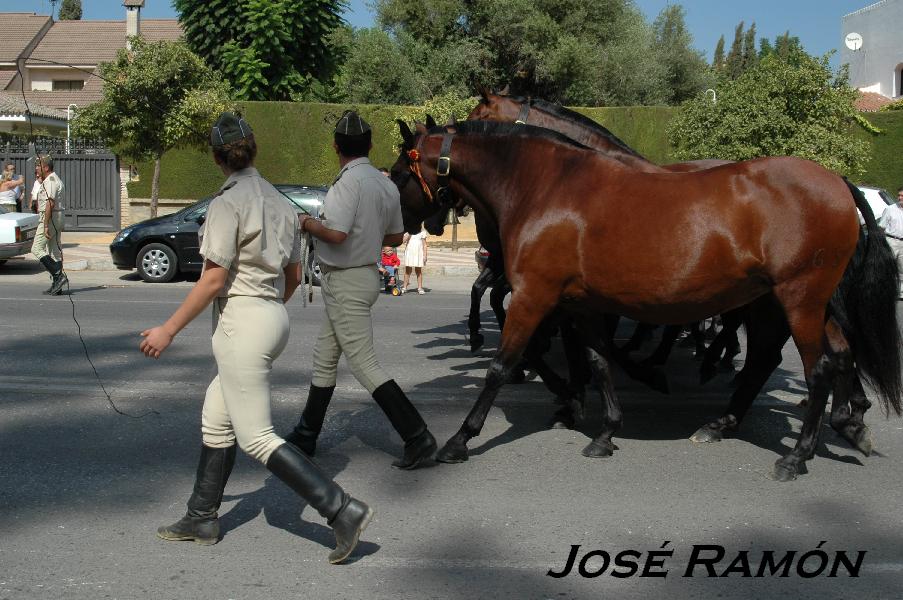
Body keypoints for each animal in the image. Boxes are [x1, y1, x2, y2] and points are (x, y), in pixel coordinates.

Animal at [390, 119, 903, 480]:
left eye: (396, 174)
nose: (400, 228)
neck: (546, 187)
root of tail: (836, 181)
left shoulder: (534, 297)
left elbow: (501, 365)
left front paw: (460, 439)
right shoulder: (582, 304)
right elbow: (598, 362)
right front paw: (605, 431)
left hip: (798, 300)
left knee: (816, 368)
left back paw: (796, 455)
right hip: (796, 303)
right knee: (827, 355)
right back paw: (832, 424)